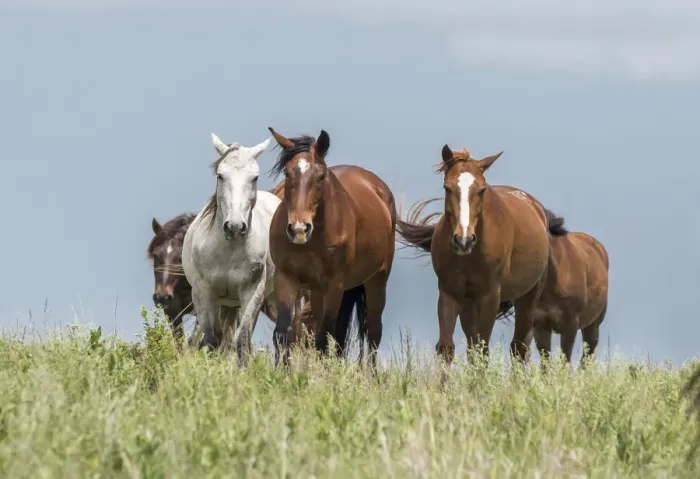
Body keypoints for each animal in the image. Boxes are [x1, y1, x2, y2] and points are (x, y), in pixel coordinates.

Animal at [182, 133, 284, 365]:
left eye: (254, 177)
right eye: (220, 176)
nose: (235, 226)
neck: (228, 250)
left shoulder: (252, 292)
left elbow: (243, 340)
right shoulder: (203, 292)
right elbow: (211, 340)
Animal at [267, 127, 397, 367]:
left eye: (321, 176)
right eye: (287, 173)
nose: (299, 229)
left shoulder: (335, 286)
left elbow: (324, 337)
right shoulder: (285, 278)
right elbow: (282, 333)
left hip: (376, 281)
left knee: (373, 332)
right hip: (317, 291)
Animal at [396, 144, 562, 364]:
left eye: (482, 190)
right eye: (447, 188)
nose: (463, 240)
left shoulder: (489, 296)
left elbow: (483, 351)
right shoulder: (450, 293)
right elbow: (447, 348)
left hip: (529, 297)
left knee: (519, 347)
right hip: (469, 304)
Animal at [496, 215, 609, 367]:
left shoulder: (570, 326)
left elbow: (565, 360)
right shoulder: (541, 326)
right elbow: (546, 362)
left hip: (593, 325)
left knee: (587, 356)